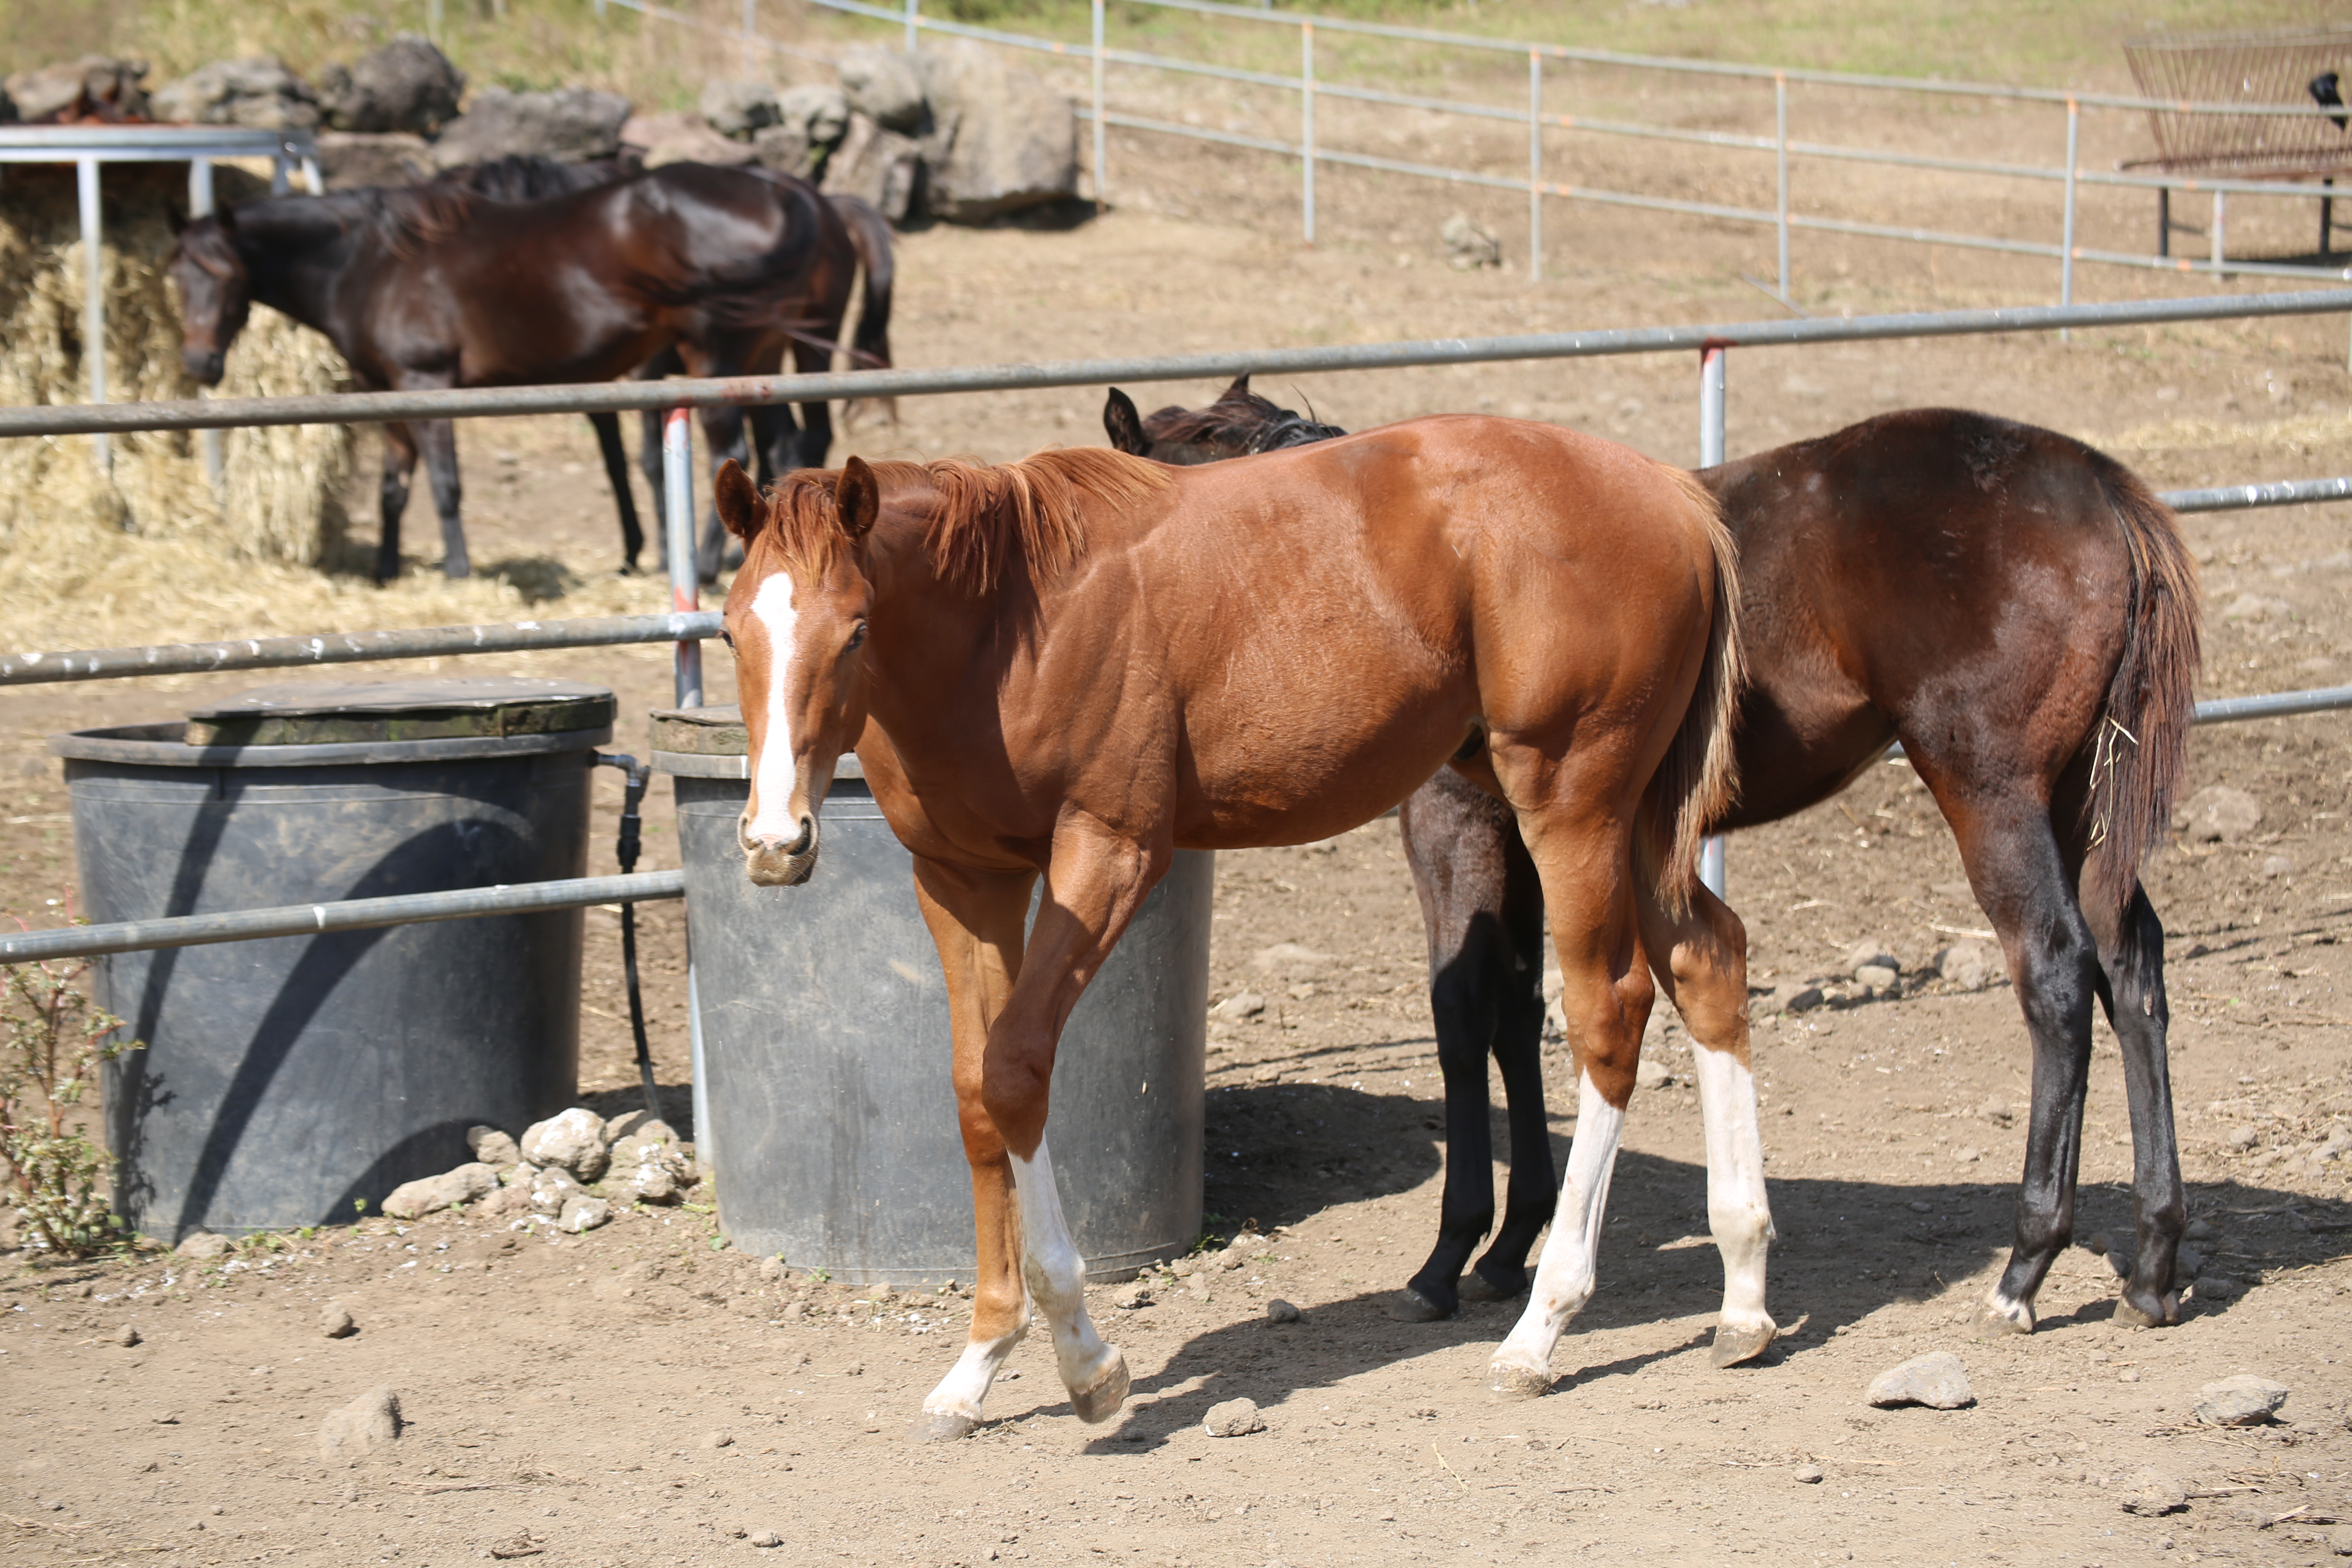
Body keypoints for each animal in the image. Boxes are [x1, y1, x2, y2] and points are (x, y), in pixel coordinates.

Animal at [172, 160, 889, 583]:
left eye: (225, 277)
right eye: (177, 281)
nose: (199, 362)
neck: (369, 261)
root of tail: (794, 195)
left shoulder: (426, 385)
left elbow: (445, 485)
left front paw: (458, 570)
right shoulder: (387, 393)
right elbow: (393, 487)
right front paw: (385, 569)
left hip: (717, 361)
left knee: (731, 452)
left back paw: (708, 564)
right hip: (775, 359)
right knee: (786, 447)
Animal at [715, 416, 1768, 1439]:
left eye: (855, 630)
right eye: (729, 632)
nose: (775, 840)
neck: (1010, 620)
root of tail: (1668, 493)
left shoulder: (1109, 855)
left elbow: (1016, 1071)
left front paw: (1085, 1359)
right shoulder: (964, 882)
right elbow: (976, 1091)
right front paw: (977, 1363)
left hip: (1571, 802)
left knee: (1609, 1010)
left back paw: (1541, 1328)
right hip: (1630, 815)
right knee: (1707, 961)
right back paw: (1744, 1293)